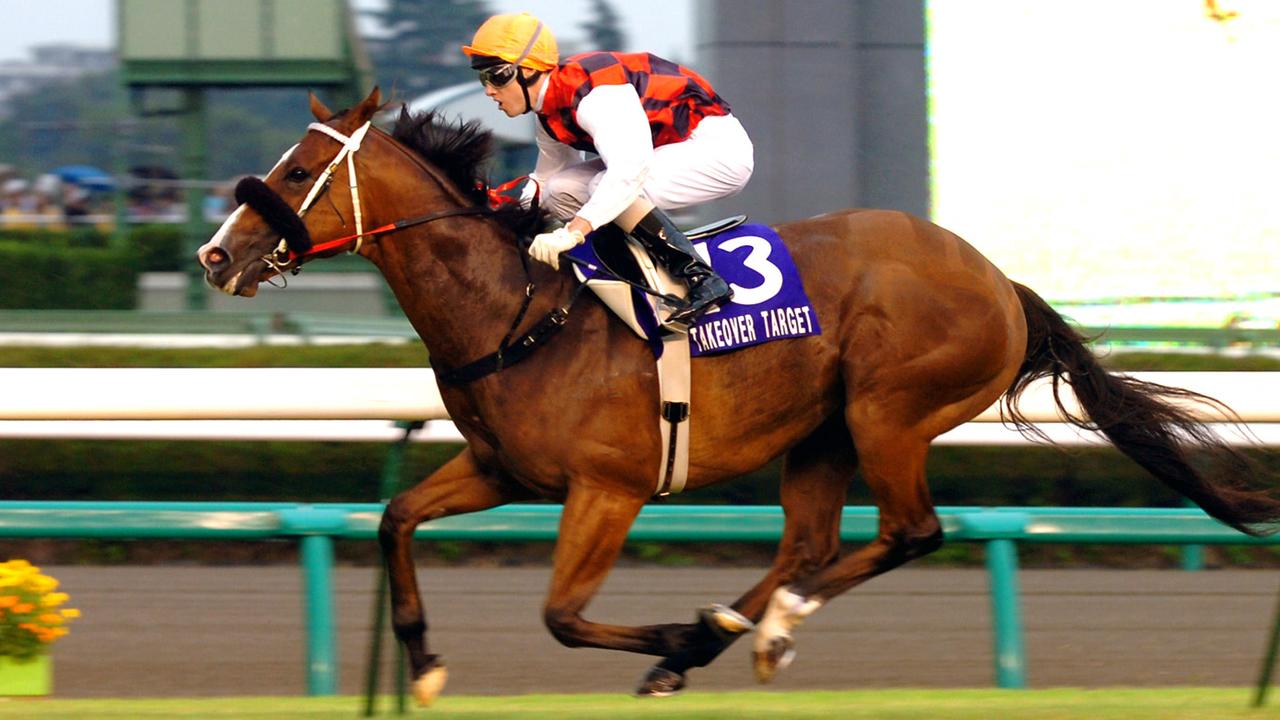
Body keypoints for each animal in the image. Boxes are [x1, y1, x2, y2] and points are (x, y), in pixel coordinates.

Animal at [194, 88, 1274, 702]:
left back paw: (750, 633)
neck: (518, 310)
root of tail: (996, 278)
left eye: (298, 167)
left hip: (889, 410)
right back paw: (719, 636)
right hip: (821, 430)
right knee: (811, 545)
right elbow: (393, 517)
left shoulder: (609, 487)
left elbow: (560, 613)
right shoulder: (503, 471)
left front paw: (672, 630)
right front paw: (421, 664)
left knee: (908, 532)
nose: (214, 256)